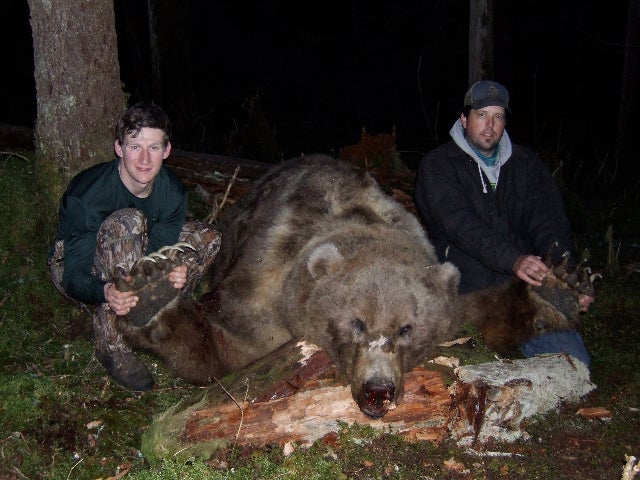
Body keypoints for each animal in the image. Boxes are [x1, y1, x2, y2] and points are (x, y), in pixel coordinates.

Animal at [114, 154, 596, 416]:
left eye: (406, 328)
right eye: (357, 323)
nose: (377, 389)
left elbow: (482, 317)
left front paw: (557, 286)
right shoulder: (270, 280)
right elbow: (226, 344)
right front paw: (152, 296)